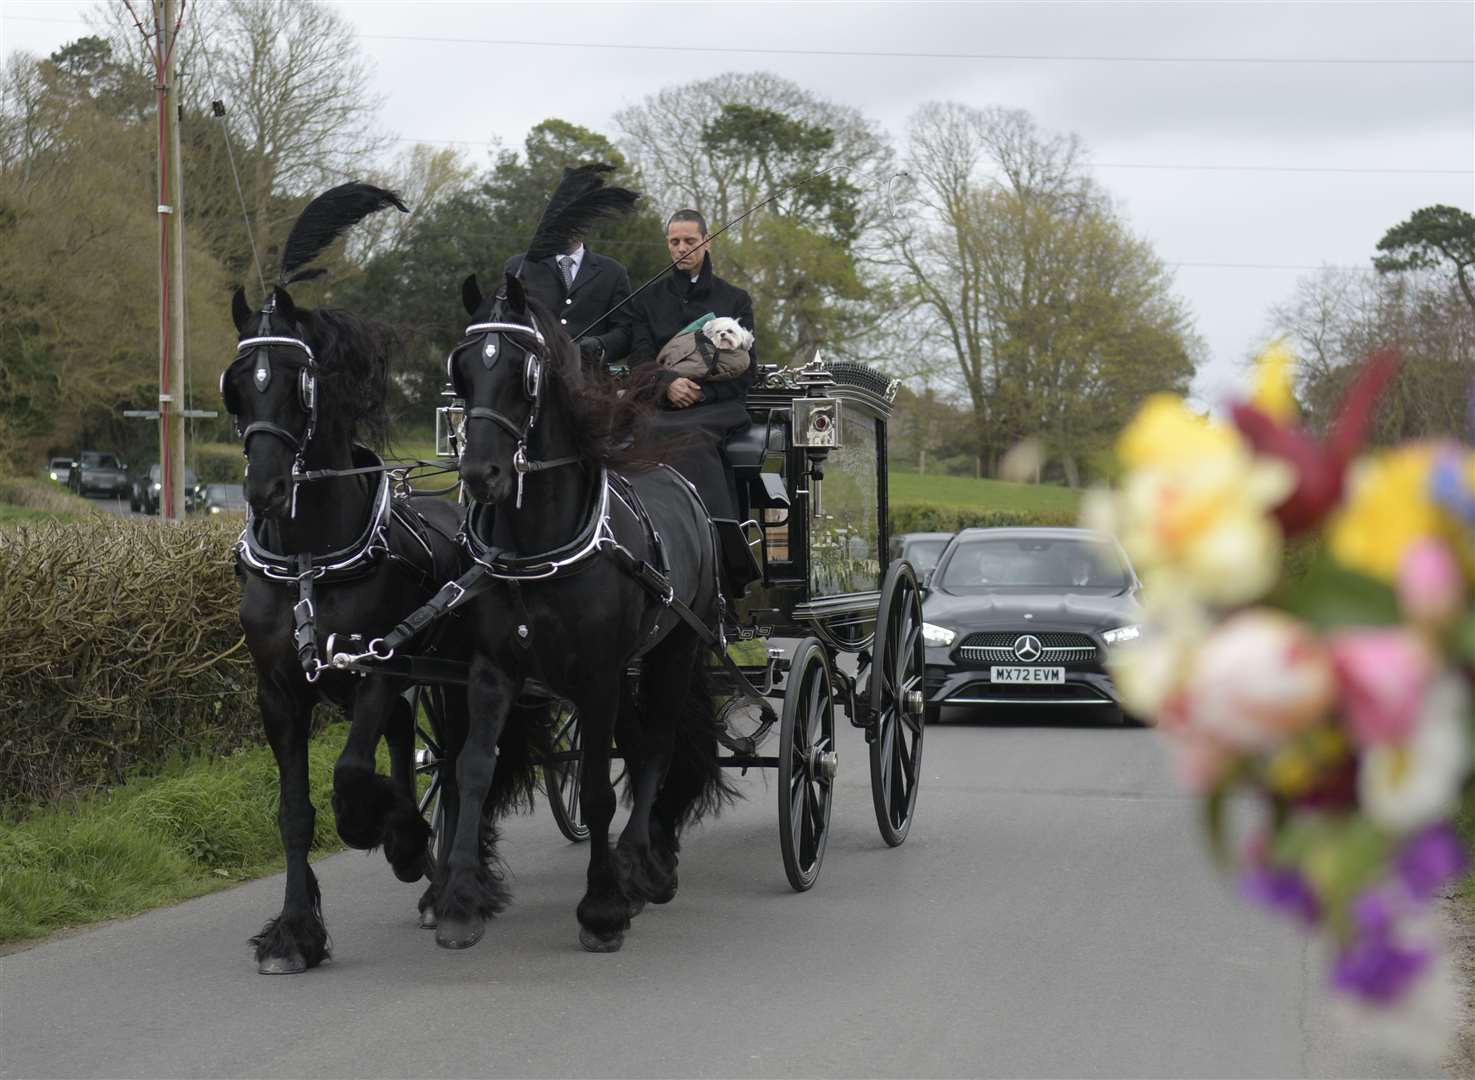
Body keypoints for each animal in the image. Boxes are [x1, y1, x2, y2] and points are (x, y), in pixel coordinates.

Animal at [221, 181, 539, 973]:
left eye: (300, 383)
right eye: (236, 386)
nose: (264, 489)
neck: (310, 561)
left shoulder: (376, 668)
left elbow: (350, 774)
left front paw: (396, 836)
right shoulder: (279, 689)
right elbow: (296, 811)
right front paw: (293, 932)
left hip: (450, 672)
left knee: (454, 761)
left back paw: (439, 874)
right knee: (414, 748)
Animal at [430, 166, 737, 944]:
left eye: (524, 369)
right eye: (462, 368)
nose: (482, 474)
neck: (537, 544)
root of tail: (679, 478)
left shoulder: (600, 674)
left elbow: (600, 788)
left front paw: (602, 906)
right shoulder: (492, 668)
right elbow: (473, 770)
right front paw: (459, 900)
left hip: (674, 648)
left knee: (655, 746)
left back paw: (640, 865)